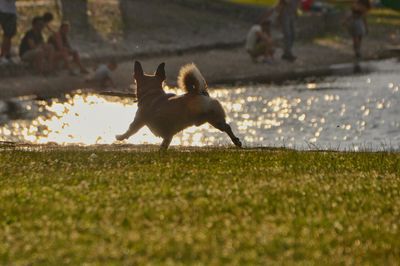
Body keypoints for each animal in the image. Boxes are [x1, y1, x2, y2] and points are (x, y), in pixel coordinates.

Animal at [114, 61, 242, 151]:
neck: (152, 93)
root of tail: (200, 92)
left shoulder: (139, 120)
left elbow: (131, 129)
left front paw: (120, 137)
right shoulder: (168, 134)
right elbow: (165, 142)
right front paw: (162, 150)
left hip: (214, 119)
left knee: (227, 127)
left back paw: (236, 141)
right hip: (214, 120)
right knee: (226, 127)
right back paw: (236, 141)